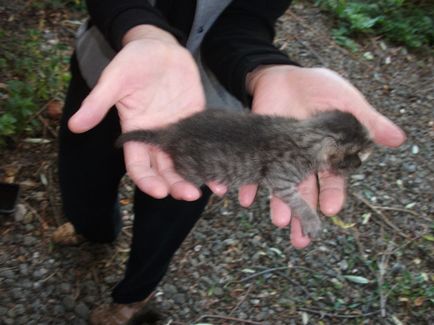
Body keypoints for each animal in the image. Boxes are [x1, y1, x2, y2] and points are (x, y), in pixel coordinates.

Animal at [118, 107, 372, 237]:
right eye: (353, 155)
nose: (360, 164)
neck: (304, 135)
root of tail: (172, 132)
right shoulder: (280, 180)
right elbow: (300, 203)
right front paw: (311, 221)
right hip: (193, 172)